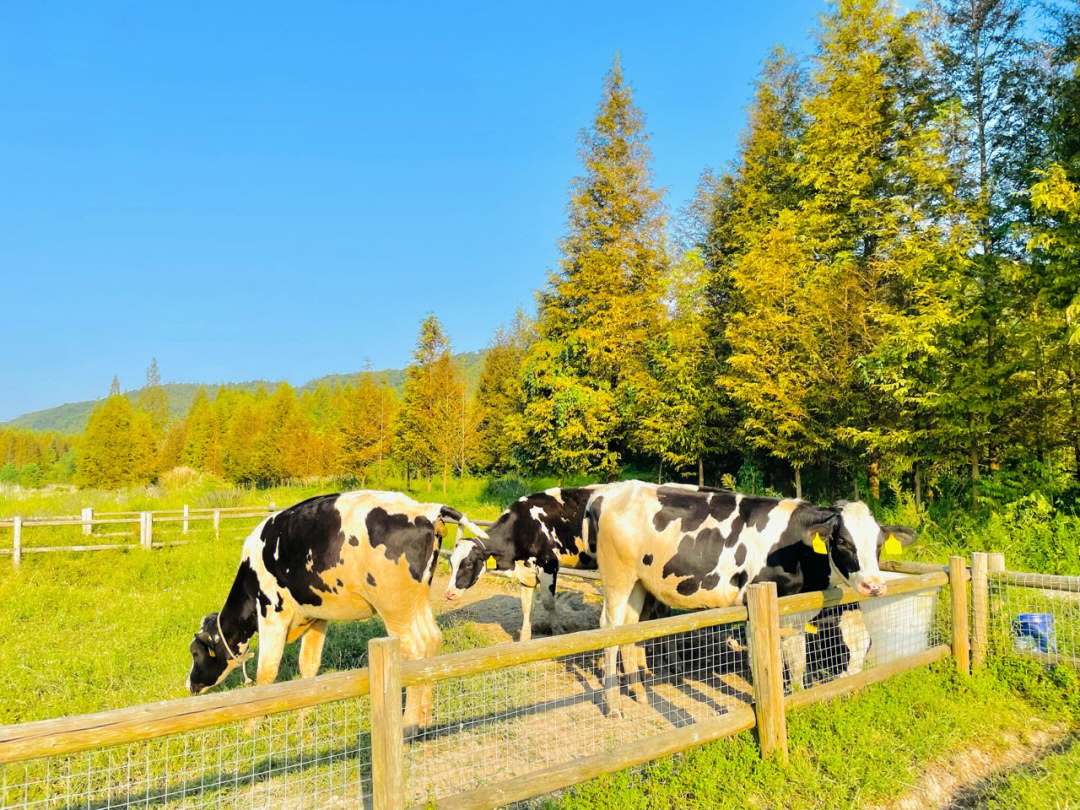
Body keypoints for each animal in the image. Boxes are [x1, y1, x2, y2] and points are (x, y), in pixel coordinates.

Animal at [186, 492, 490, 734]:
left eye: (195, 653)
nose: (189, 684)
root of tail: (425, 509)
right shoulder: (317, 616)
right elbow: (309, 667)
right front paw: (303, 721)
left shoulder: (272, 615)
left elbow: (266, 675)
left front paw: (250, 729)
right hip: (417, 599)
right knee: (431, 641)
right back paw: (425, 718)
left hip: (394, 607)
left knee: (414, 652)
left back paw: (408, 724)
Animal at [442, 488, 604, 639]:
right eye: (451, 563)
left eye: (468, 564)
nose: (449, 594)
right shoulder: (526, 573)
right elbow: (526, 606)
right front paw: (524, 638)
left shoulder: (548, 565)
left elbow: (548, 602)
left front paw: (557, 631)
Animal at [587, 481, 915, 708]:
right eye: (844, 543)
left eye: (879, 544)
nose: (875, 585)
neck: (797, 547)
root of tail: (611, 493)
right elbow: (783, 660)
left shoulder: (795, 614)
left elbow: (797, 661)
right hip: (617, 577)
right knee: (609, 629)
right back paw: (613, 704)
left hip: (638, 583)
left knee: (629, 628)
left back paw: (639, 693)